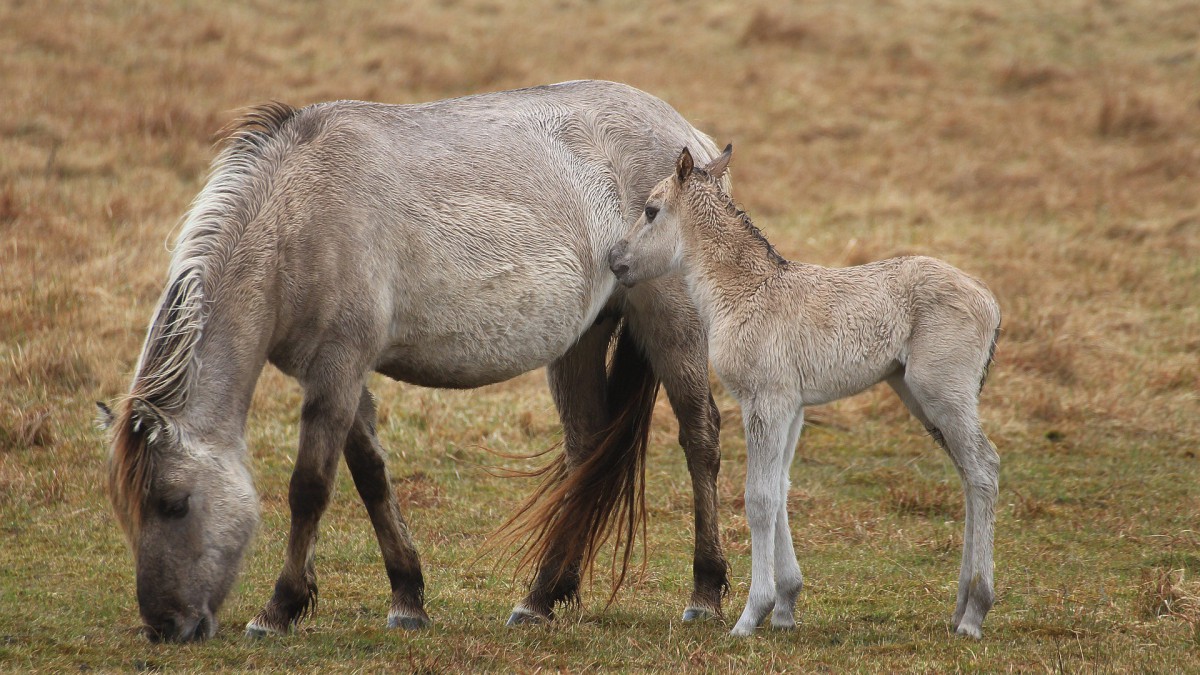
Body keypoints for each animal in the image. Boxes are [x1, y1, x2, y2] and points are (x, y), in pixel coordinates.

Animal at [98, 81, 724, 638]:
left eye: (174, 504)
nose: (163, 627)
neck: (295, 220)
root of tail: (692, 140)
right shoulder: (337, 375)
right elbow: (370, 476)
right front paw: (407, 599)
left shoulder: (339, 367)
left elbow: (310, 487)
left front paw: (278, 610)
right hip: (582, 341)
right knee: (585, 452)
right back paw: (543, 598)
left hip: (673, 326)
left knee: (700, 438)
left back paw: (705, 595)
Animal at [609, 145, 1003, 634]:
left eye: (650, 210)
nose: (615, 260)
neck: (745, 292)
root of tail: (990, 300)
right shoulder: (791, 406)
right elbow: (779, 487)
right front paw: (785, 608)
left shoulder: (766, 400)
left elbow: (759, 498)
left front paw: (750, 615)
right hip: (922, 400)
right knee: (968, 476)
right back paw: (959, 607)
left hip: (944, 394)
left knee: (984, 468)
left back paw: (975, 613)